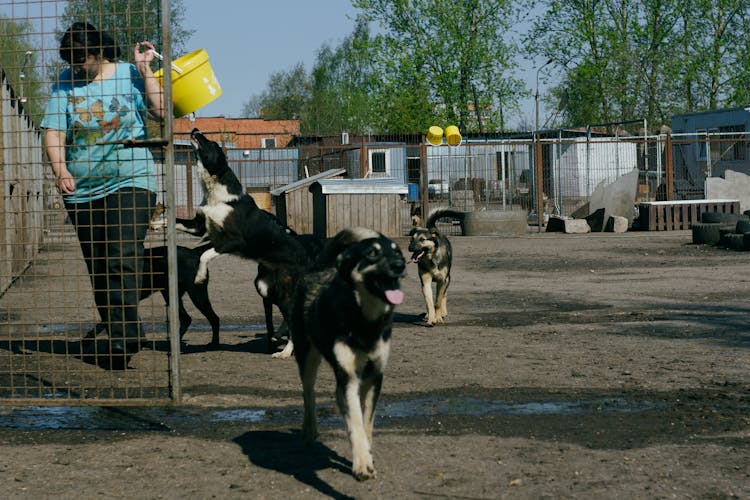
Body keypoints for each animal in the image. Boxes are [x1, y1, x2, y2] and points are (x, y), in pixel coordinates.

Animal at [292, 229, 408, 480]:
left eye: (397, 251)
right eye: (372, 253)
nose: (400, 265)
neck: (365, 320)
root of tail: (318, 268)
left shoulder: (374, 376)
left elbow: (366, 422)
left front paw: (367, 452)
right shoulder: (348, 377)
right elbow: (355, 421)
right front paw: (362, 462)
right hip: (307, 358)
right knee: (309, 394)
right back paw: (310, 430)